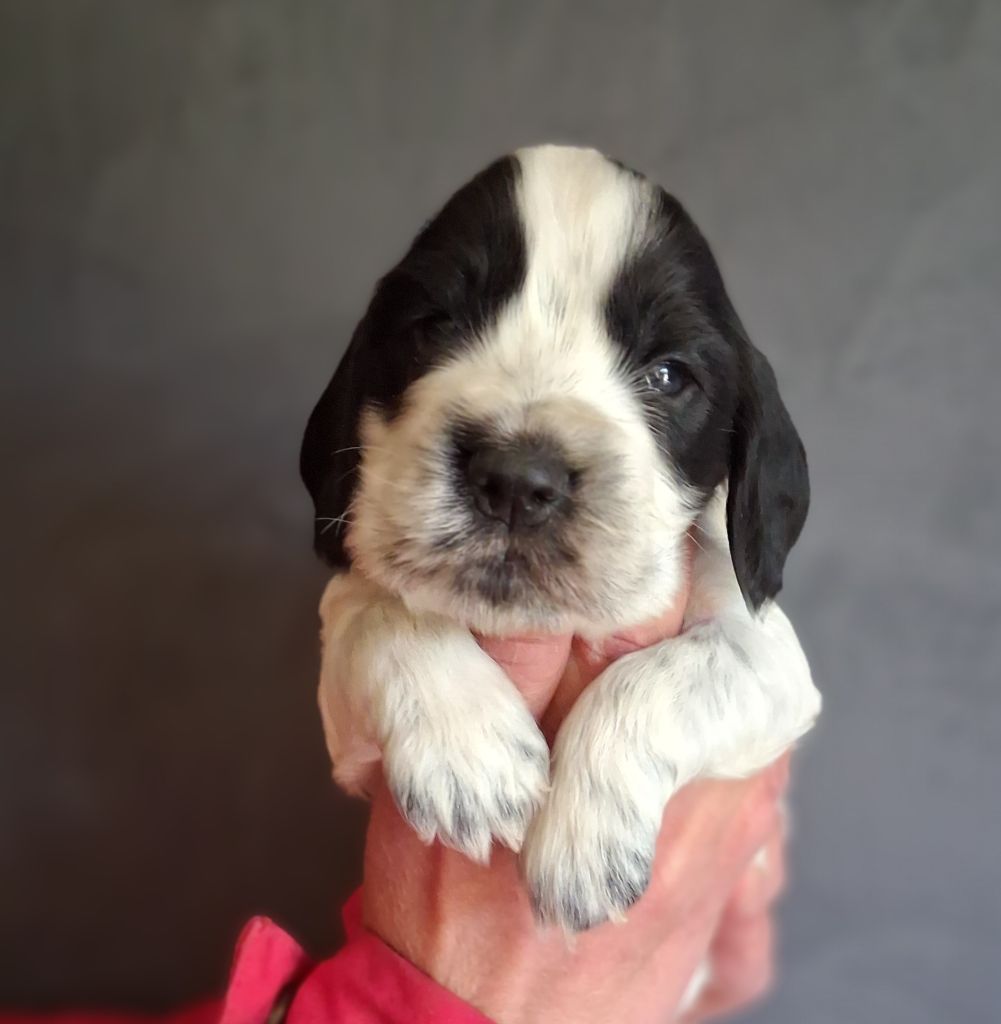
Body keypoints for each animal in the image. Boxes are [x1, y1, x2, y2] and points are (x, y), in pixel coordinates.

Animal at [300, 144, 821, 933]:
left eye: (667, 375)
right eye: (433, 327)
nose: (517, 479)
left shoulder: (770, 660)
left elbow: (671, 672)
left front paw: (585, 843)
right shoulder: (346, 736)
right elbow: (380, 610)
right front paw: (470, 751)